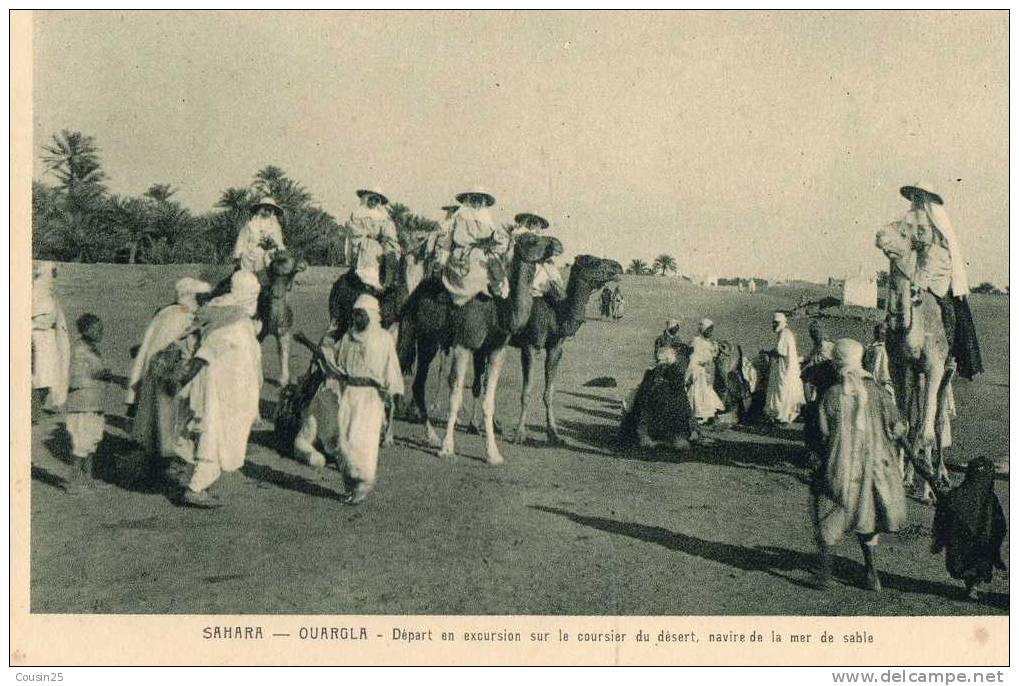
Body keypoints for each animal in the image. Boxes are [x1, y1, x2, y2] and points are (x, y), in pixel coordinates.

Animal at [395, 231, 558, 464]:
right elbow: (455, 396)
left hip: (429, 342)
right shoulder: (464, 344)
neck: (498, 310)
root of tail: (414, 294)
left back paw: (432, 436)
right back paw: (386, 435)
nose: (557, 245)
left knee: (418, 385)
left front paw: (493, 454)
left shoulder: (497, 350)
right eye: (532, 240)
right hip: (408, 331)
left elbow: (488, 402)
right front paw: (447, 448)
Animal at [507, 255, 623, 444]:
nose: (618, 266)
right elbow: (527, 393)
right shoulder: (529, 346)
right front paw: (519, 435)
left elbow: (549, 393)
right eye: (594, 262)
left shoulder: (555, 348)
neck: (555, 313)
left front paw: (554, 435)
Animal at [876, 222, 953, 499]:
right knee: (919, 419)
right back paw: (912, 474)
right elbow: (905, 424)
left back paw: (939, 475)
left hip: (949, 370)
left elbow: (929, 431)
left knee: (938, 421)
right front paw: (900, 476)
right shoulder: (899, 365)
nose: (879, 236)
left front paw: (928, 491)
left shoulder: (934, 366)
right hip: (917, 375)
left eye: (903, 233)